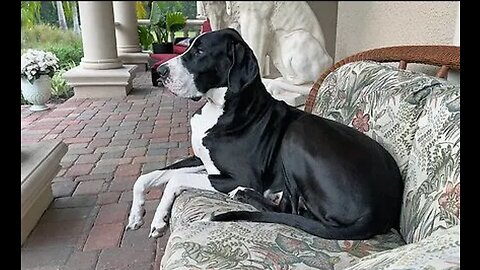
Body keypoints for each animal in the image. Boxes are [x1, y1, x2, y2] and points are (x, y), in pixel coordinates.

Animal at [125, 28, 404, 240]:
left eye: (200, 51)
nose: (160, 72)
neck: (223, 107)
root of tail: (380, 210)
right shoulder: (201, 160)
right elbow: (148, 177)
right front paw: (141, 216)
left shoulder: (240, 175)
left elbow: (175, 180)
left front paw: (157, 217)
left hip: (296, 135)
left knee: (291, 210)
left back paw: (245, 194)